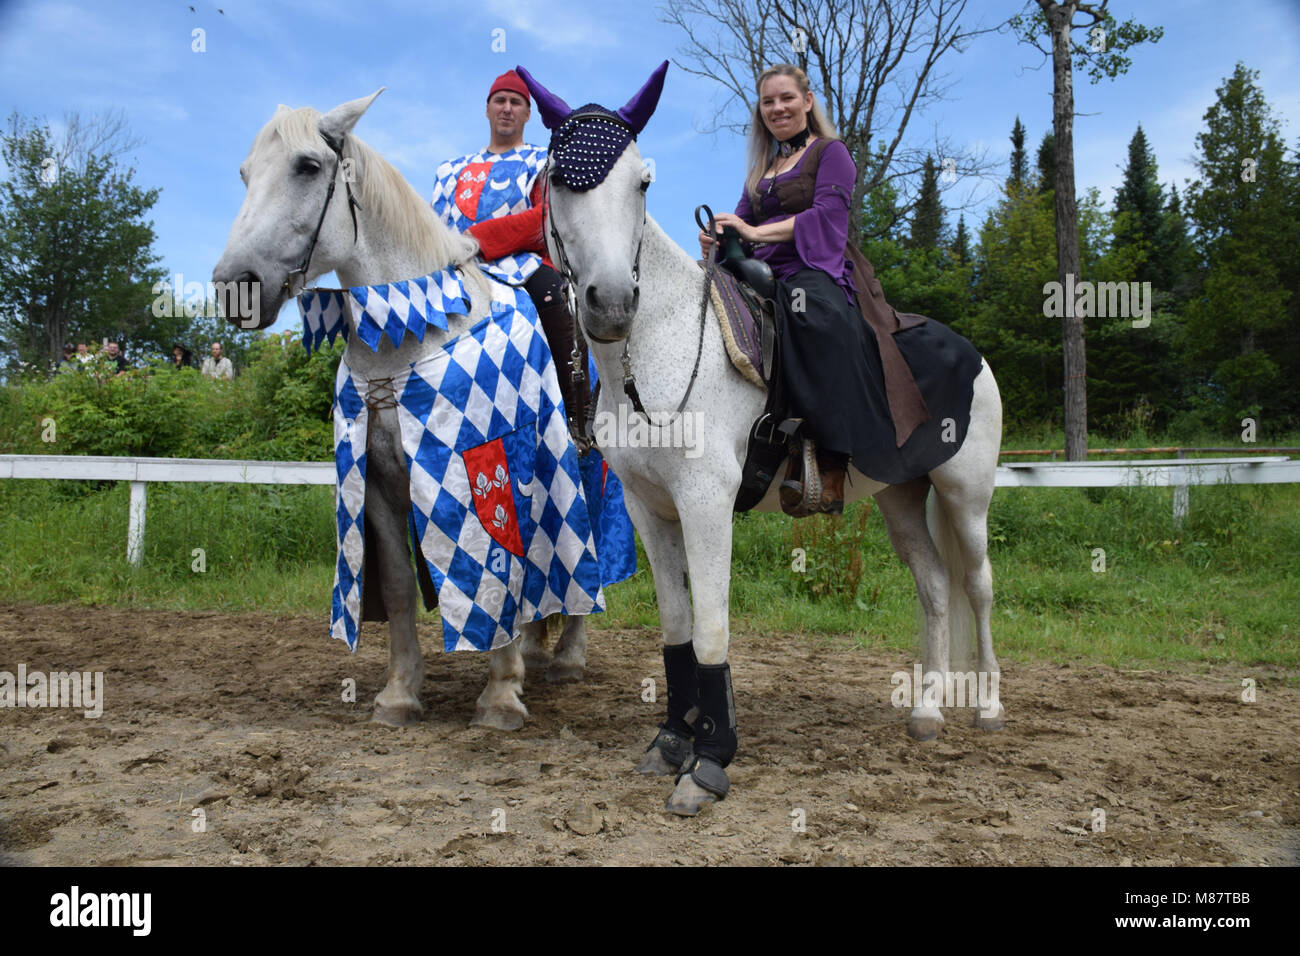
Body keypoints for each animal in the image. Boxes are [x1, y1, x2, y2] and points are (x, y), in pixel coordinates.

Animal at [214, 91, 590, 733]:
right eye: (242, 174)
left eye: (307, 166)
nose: (233, 287)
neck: (415, 327)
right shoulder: (378, 484)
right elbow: (395, 587)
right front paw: (399, 693)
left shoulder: (498, 465)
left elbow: (505, 575)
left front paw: (499, 693)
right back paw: (538, 653)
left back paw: (565, 659)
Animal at [517, 63, 1003, 816]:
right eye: (557, 179)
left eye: (643, 182)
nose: (611, 304)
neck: (658, 348)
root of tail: (970, 353)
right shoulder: (649, 509)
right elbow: (678, 629)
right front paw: (672, 743)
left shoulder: (706, 503)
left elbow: (713, 630)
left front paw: (710, 763)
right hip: (900, 494)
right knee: (934, 585)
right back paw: (925, 711)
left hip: (965, 494)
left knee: (977, 585)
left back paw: (985, 707)